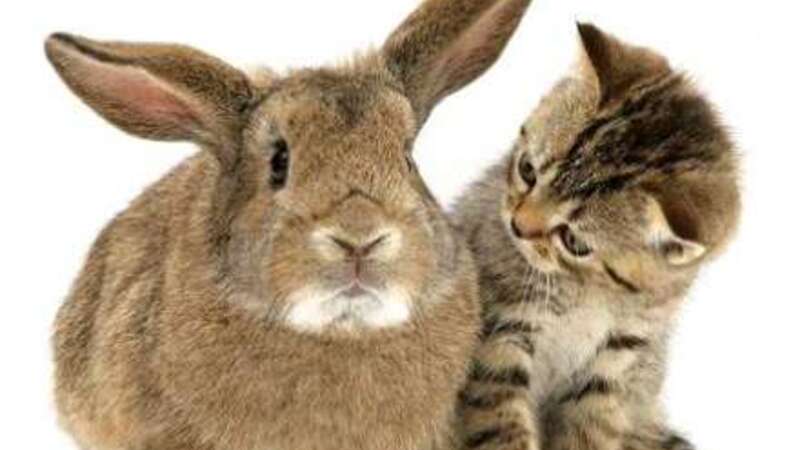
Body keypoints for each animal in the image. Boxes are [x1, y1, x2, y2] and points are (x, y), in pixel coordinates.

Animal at [453, 23, 740, 450]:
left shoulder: (619, 360)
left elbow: (590, 432)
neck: (589, 292)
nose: (517, 227)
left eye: (574, 242)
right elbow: (501, 424)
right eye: (527, 170)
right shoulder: (499, 334)